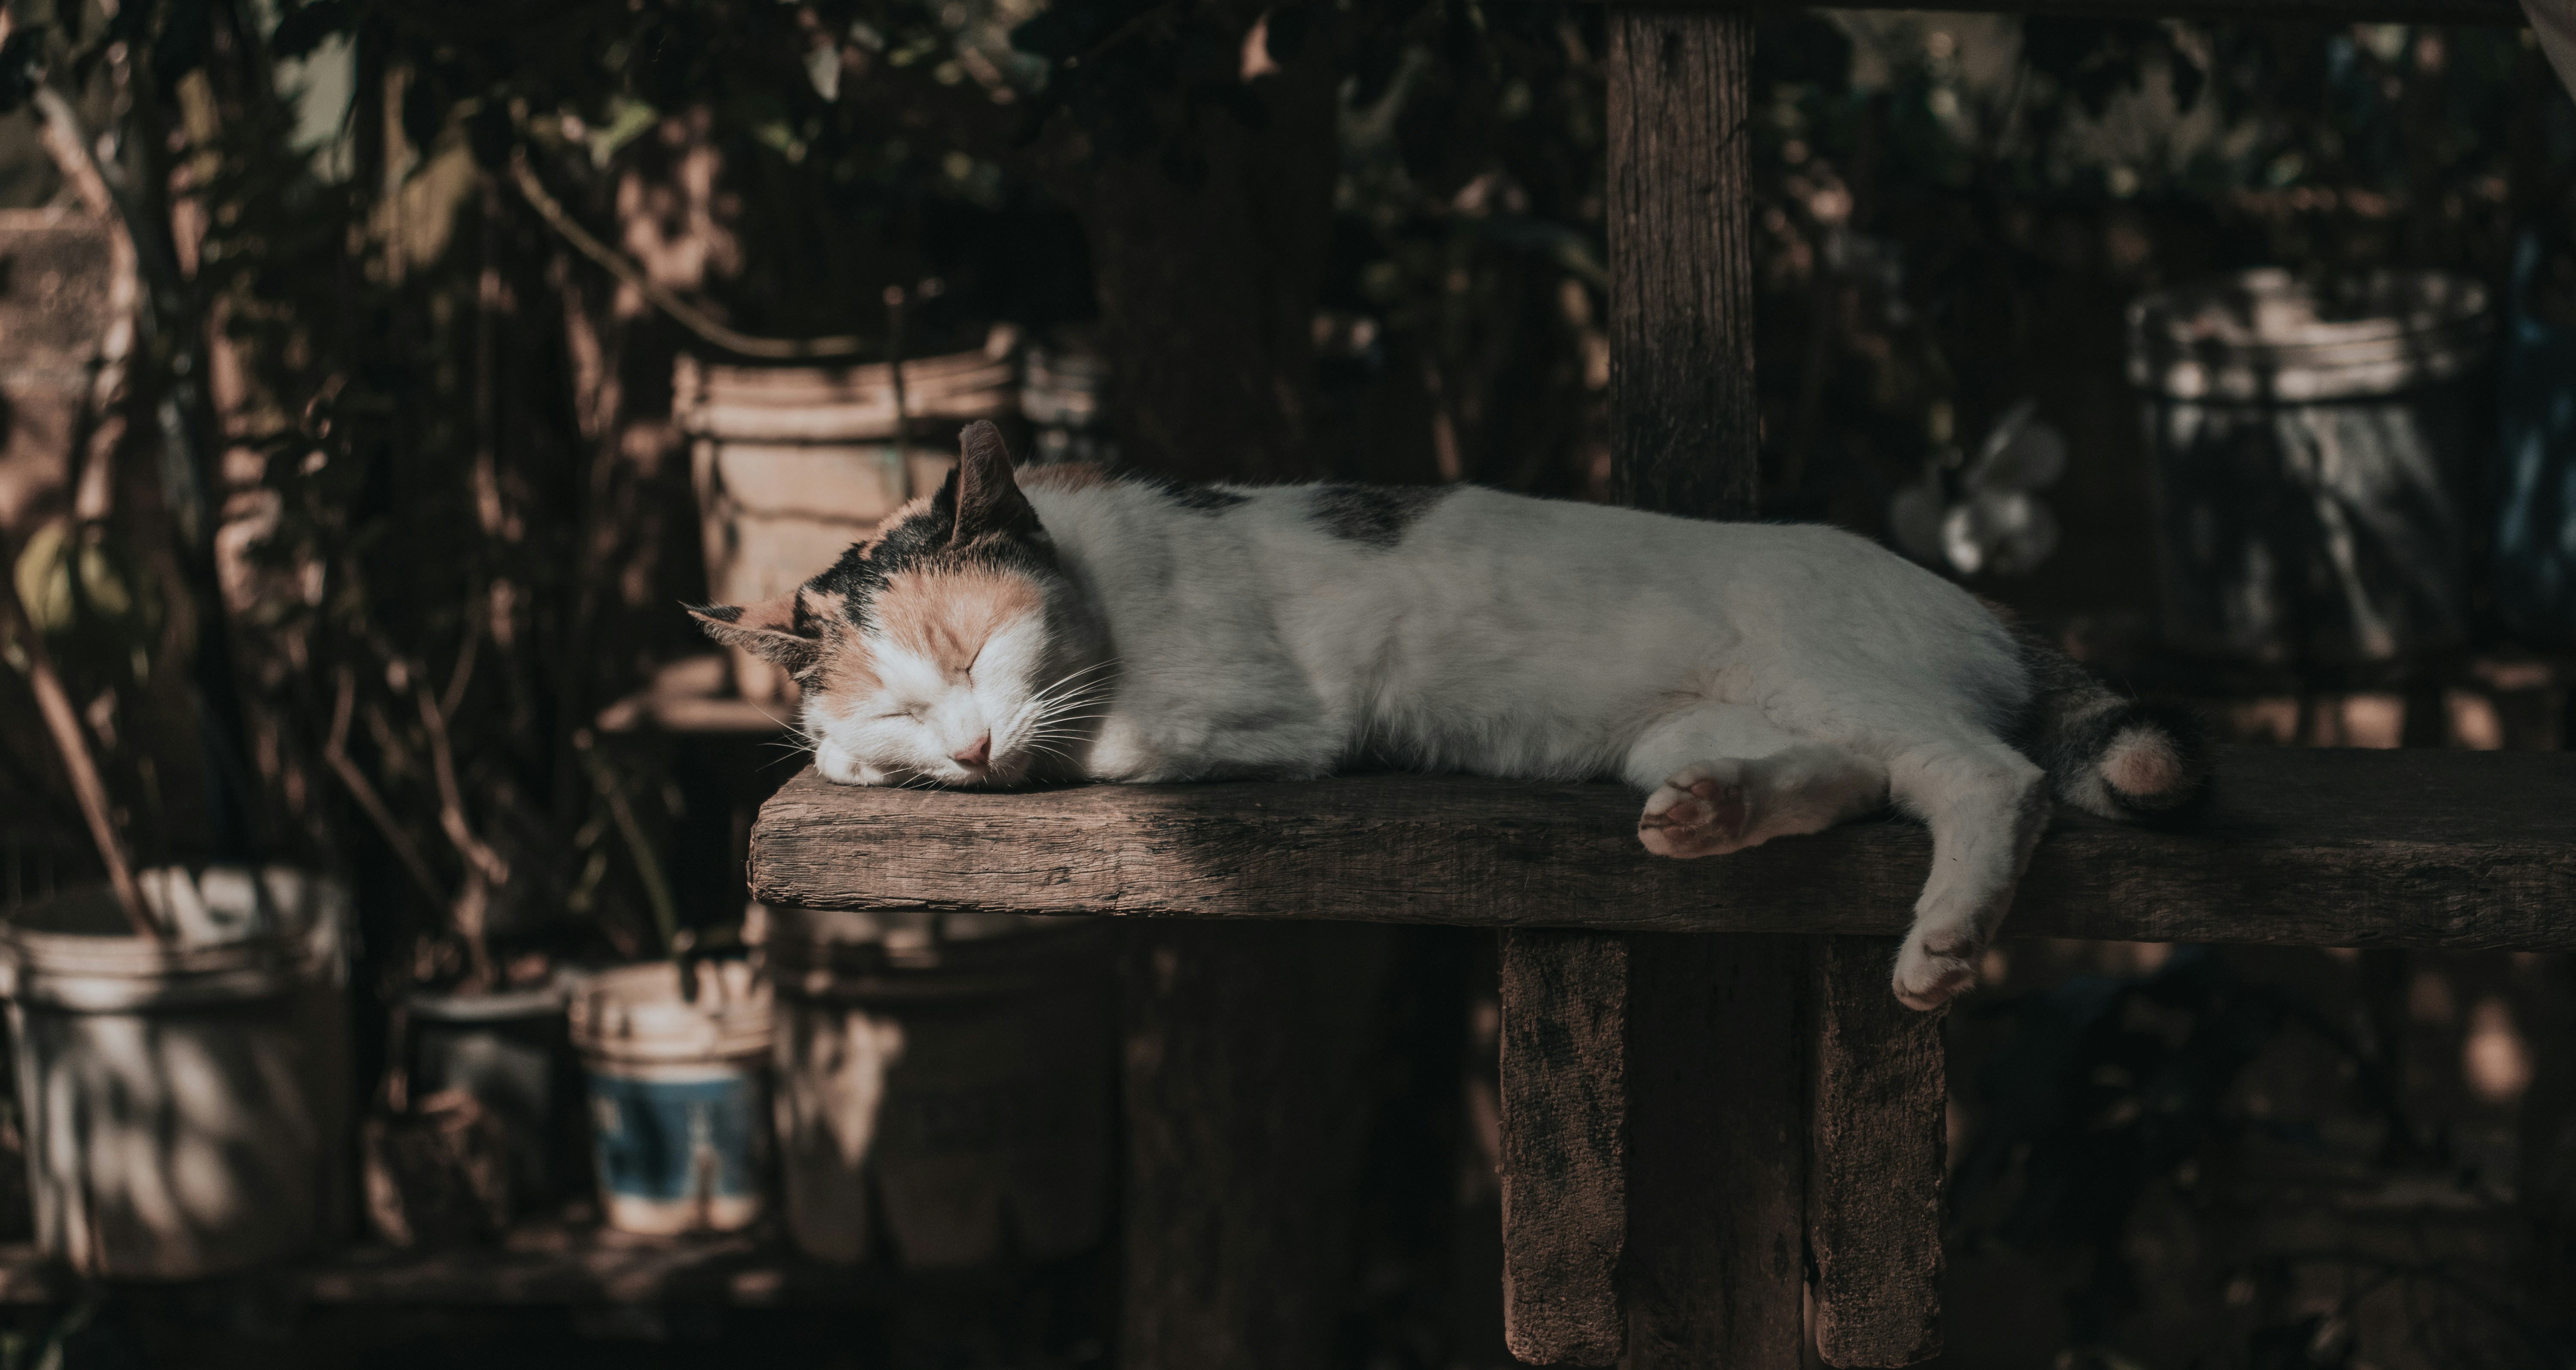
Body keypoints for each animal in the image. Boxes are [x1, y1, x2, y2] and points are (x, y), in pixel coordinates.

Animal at [696, 422, 2205, 1009]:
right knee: (1860, 773)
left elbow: (1087, 744)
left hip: (1838, 667)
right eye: (901, 701)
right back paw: (1713, 812)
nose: (956, 745)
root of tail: (1974, 600)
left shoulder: (1254, 713)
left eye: (970, 649)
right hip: (1698, 724)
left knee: (1989, 773)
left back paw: (1941, 945)